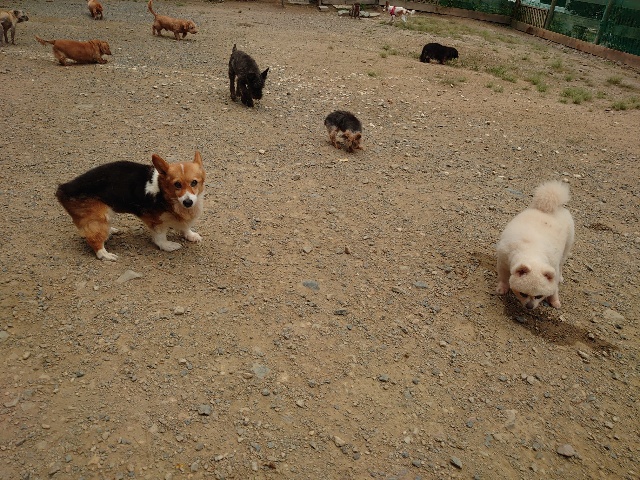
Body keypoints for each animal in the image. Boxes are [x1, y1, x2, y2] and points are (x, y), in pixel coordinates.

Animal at [56, 152, 206, 261]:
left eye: (194, 182)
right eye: (177, 184)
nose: (188, 202)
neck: (165, 194)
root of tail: (63, 189)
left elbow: (185, 227)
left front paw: (190, 235)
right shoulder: (156, 222)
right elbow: (160, 237)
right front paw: (168, 246)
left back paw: (111, 230)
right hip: (99, 217)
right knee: (94, 240)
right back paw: (106, 254)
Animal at [496, 181, 575, 310]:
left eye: (539, 296)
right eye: (523, 294)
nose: (529, 306)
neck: (531, 251)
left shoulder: (553, 268)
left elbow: (554, 287)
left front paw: (554, 300)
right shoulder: (503, 261)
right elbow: (503, 277)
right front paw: (502, 288)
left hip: (567, 245)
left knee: (562, 263)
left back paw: (561, 277)